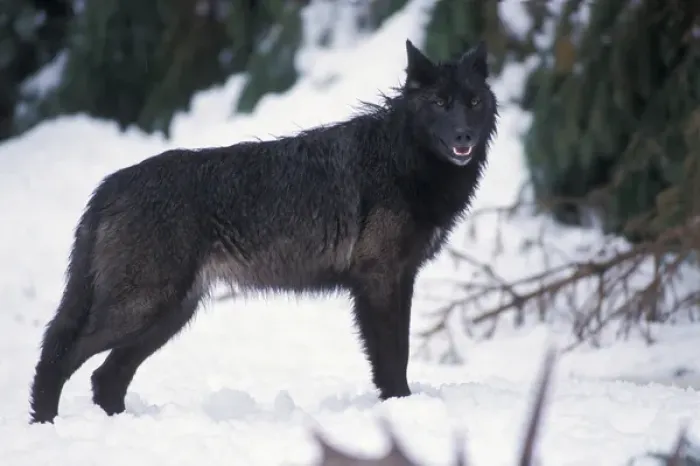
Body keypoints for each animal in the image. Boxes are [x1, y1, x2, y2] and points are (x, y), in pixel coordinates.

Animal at [29, 39, 498, 424]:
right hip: (144, 307)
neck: (400, 159)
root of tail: (110, 185)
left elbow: (396, 353)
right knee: (60, 354)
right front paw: (401, 407)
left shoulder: (401, 278)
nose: (463, 136)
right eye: (440, 102)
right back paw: (46, 423)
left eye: (474, 101)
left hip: (168, 315)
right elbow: (392, 356)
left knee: (105, 377)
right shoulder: (379, 280)